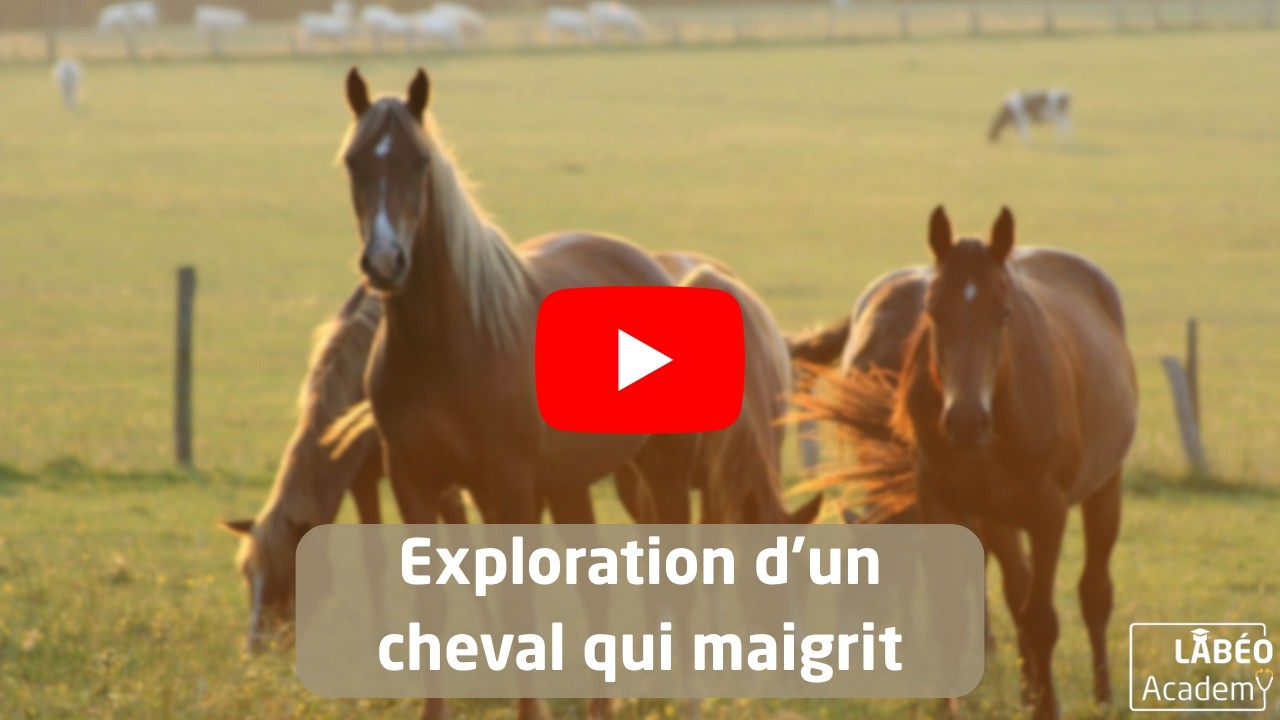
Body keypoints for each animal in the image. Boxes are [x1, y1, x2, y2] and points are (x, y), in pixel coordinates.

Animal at [816, 207, 1136, 719]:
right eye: (933, 312)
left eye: (1003, 314)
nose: (966, 421)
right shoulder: (943, 507)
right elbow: (956, 610)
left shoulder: (1048, 514)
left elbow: (1042, 618)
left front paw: (1047, 705)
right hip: (997, 515)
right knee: (1017, 585)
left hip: (1104, 490)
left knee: (1093, 593)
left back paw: (1102, 694)